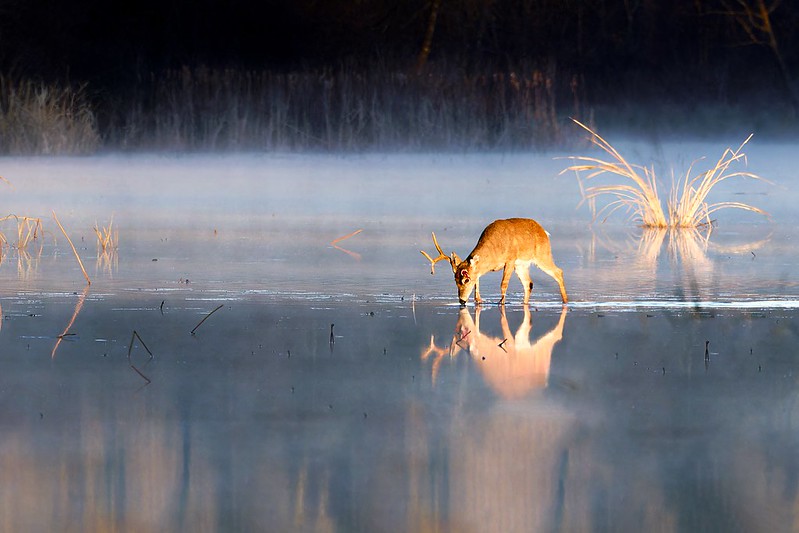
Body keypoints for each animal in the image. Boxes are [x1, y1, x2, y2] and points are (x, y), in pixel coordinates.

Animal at [418, 218, 568, 306]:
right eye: (455, 279)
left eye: (466, 279)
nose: (461, 300)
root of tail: (543, 231)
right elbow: (478, 282)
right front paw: (479, 300)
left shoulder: (510, 260)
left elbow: (503, 284)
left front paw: (501, 303)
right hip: (522, 265)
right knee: (529, 283)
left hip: (542, 256)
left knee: (558, 272)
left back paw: (566, 301)